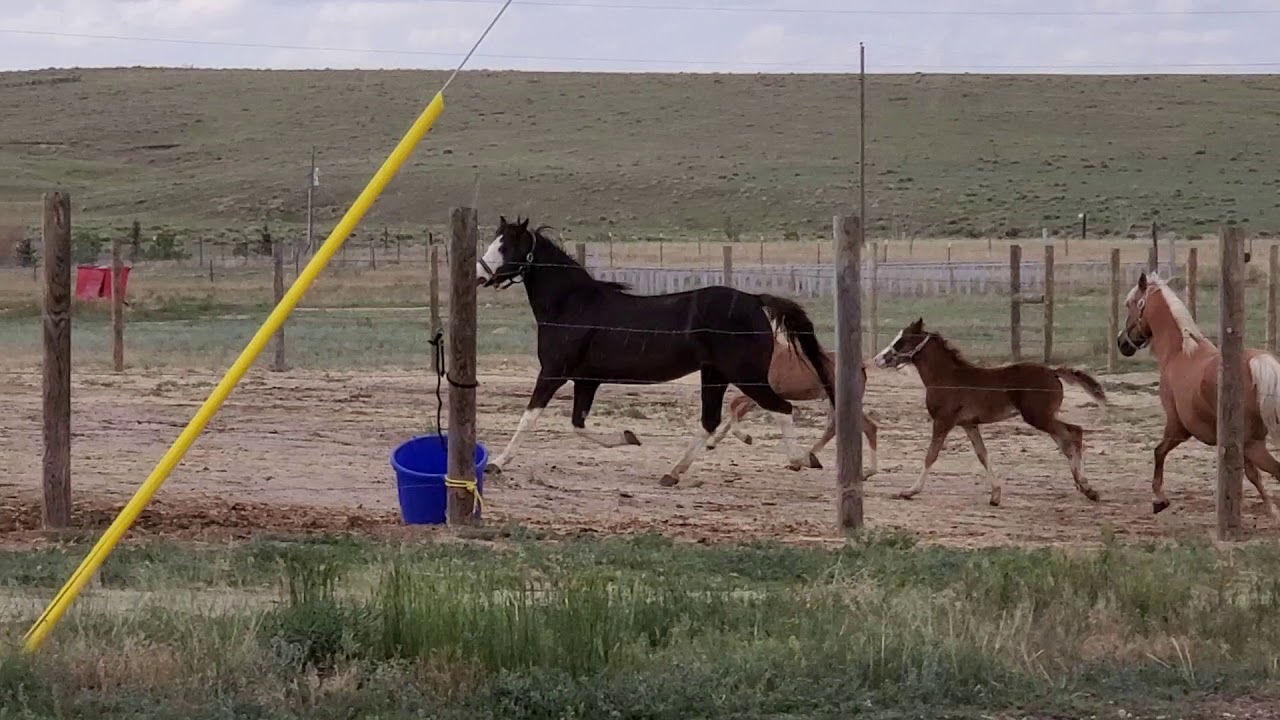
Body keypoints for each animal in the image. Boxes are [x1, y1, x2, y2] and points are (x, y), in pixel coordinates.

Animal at [475, 216, 836, 487]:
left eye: (505, 246)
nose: (479, 274)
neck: (572, 306)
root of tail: (754, 299)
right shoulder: (586, 380)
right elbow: (579, 424)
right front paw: (629, 436)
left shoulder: (553, 372)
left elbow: (529, 418)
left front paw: (497, 463)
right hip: (715, 375)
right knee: (710, 421)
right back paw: (672, 473)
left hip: (746, 375)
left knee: (782, 408)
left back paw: (800, 459)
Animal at [704, 338, 879, 476]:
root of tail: (861, 367)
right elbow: (737, 411)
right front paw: (712, 442)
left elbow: (733, 405)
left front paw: (745, 438)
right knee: (836, 427)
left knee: (866, 426)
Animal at [872, 318, 1108, 506]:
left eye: (901, 341)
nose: (878, 359)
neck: (946, 377)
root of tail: (1053, 372)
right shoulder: (969, 424)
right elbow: (982, 454)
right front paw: (995, 494)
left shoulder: (942, 421)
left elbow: (931, 455)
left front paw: (910, 491)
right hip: (1046, 417)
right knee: (1066, 442)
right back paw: (1085, 487)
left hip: (1038, 417)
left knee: (1075, 432)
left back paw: (1086, 486)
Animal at [1117, 270, 1280, 516]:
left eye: (1130, 304)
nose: (1122, 343)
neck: (1180, 353)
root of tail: (1260, 362)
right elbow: (1251, 476)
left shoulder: (1177, 427)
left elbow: (1158, 451)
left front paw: (1159, 499)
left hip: (1254, 445)